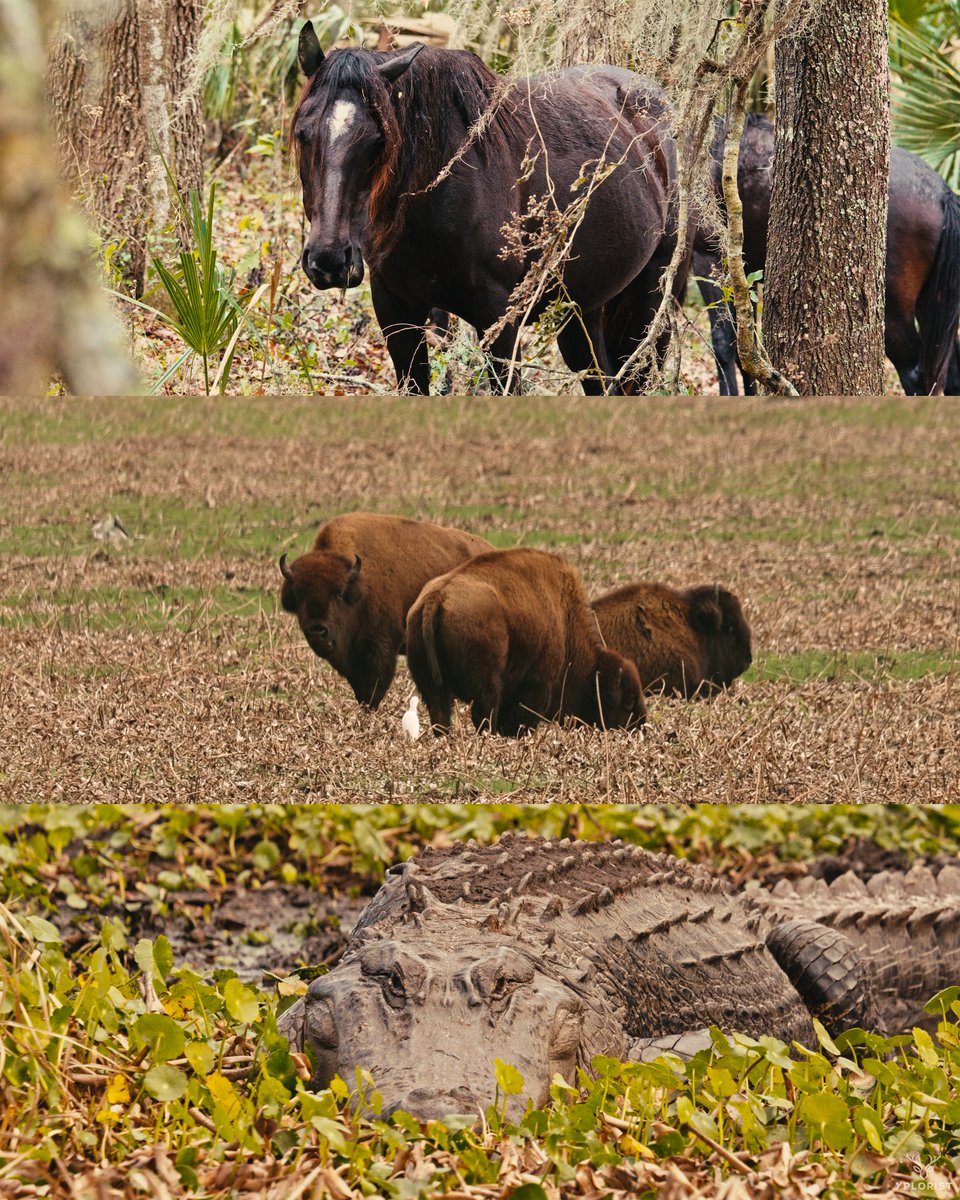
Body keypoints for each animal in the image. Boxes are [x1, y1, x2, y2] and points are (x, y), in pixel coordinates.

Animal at [279, 512, 492, 707]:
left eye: (338, 594)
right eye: (299, 594)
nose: (317, 630)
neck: (359, 584)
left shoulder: (381, 647)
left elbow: (374, 687)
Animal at [292, 22, 688, 395]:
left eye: (378, 140)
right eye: (302, 133)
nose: (329, 260)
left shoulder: (499, 322)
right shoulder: (397, 314)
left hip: (650, 302)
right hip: (580, 310)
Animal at [406, 547, 646, 736]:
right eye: (627, 703)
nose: (640, 726)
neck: (564, 621)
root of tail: (437, 597)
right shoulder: (538, 684)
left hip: (428, 682)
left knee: (441, 714)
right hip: (485, 684)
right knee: (484, 713)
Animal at [694, 114, 960, 397]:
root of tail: (943, 192)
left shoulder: (707, 259)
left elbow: (723, 345)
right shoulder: (745, 275)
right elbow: (747, 352)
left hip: (895, 312)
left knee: (914, 374)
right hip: (932, 306)